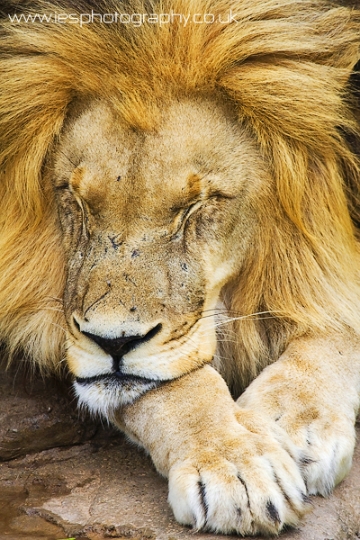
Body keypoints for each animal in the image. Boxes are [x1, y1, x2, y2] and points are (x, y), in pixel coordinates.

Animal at [0, 0, 360, 532]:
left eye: (197, 206)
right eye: (75, 200)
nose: (113, 343)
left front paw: (295, 425)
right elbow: (167, 387)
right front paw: (235, 466)